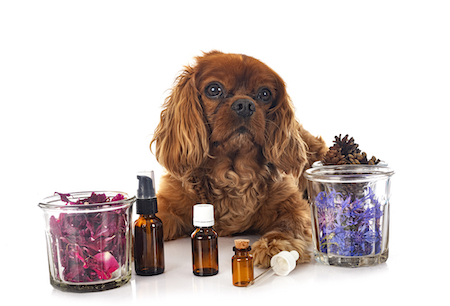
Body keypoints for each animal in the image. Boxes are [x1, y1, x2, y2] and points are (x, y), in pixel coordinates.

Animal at [151, 51, 326, 266]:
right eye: (214, 89)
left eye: (265, 93)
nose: (245, 105)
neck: (232, 174)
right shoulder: (168, 207)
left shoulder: (294, 206)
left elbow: (288, 225)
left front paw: (275, 245)